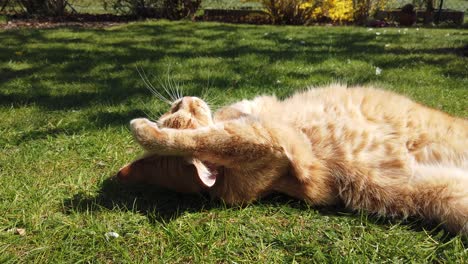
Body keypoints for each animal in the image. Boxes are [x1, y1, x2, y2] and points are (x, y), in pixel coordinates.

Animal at [119, 83, 468, 234]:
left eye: (174, 112)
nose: (181, 100)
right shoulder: (267, 143)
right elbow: (206, 139)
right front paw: (141, 129)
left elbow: (231, 117)